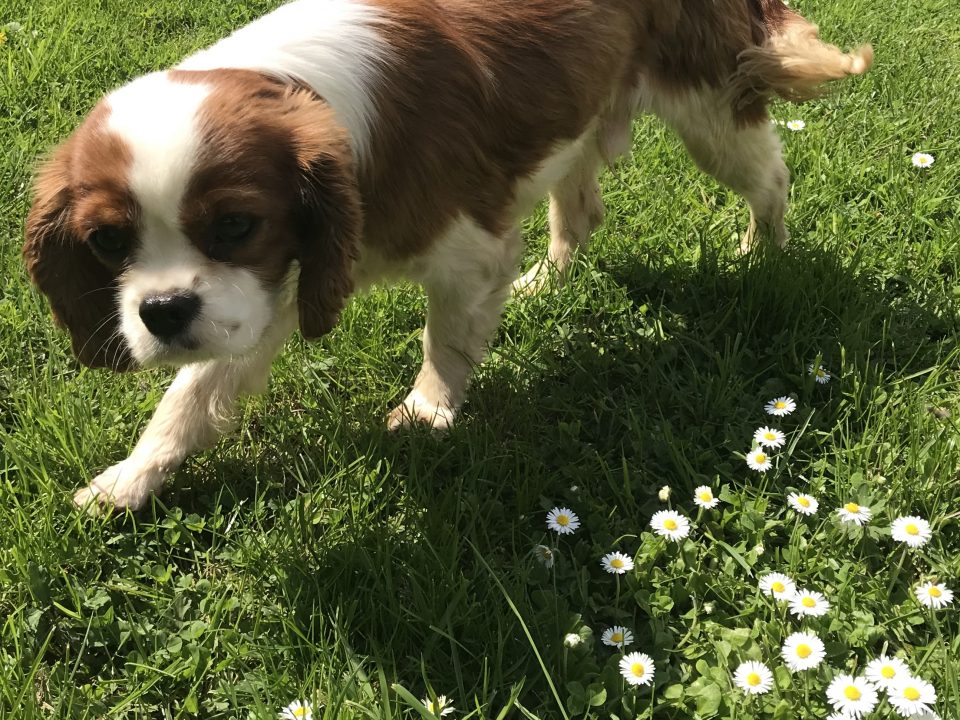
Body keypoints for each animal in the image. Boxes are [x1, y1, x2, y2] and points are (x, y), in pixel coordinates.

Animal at [26, 0, 872, 512]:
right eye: (108, 241)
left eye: (235, 223)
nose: (163, 312)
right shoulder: (279, 279)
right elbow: (193, 397)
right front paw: (130, 481)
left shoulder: (460, 253)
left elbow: (445, 340)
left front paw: (428, 412)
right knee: (582, 210)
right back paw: (546, 284)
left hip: (708, 107)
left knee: (769, 177)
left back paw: (765, 255)